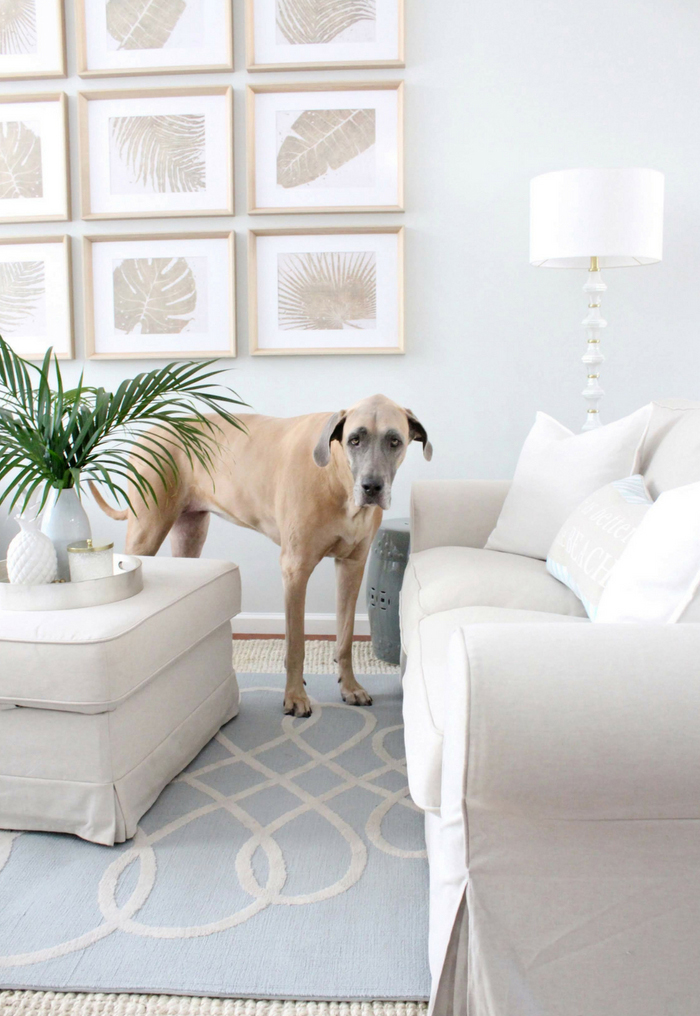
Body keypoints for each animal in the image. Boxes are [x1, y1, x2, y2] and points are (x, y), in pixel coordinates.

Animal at [92, 392, 430, 719]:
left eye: (394, 441)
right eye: (355, 440)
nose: (372, 487)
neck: (338, 479)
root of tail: (151, 430)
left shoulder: (352, 566)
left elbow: (345, 637)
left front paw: (349, 687)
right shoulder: (295, 569)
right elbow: (295, 643)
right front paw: (295, 696)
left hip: (191, 533)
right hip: (146, 530)